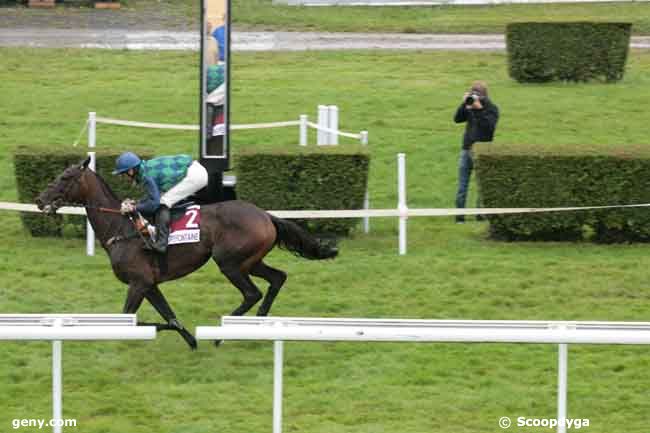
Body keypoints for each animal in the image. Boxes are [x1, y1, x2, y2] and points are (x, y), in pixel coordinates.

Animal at [36, 158, 336, 348]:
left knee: (253, 293)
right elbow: (169, 316)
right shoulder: (149, 284)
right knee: (277, 278)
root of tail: (266, 215)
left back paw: (222, 335)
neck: (121, 227)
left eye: (65, 177)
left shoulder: (139, 283)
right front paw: (190, 340)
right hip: (251, 261)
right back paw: (255, 324)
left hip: (229, 262)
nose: (40, 200)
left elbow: (130, 319)